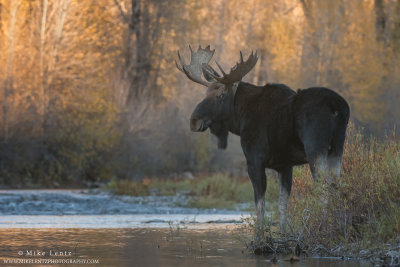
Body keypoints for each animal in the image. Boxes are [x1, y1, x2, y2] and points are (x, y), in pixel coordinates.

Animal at [176, 45, 350, 238]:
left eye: (221, 95)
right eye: (206, 93)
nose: (194, 120)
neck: (239, 119)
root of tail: (337, 106)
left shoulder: (254, 160)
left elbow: (260, 204)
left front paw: (259, 237)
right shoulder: (285, 165)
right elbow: (282, 203)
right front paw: (282, 234)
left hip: (315, 148)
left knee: (324, 188)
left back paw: (322, 227)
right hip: (337, 147)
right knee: (336, 185)